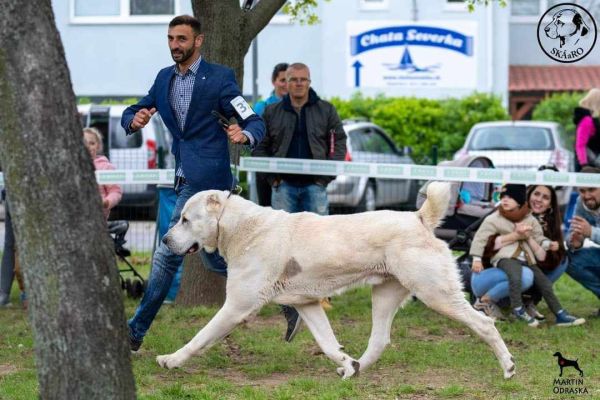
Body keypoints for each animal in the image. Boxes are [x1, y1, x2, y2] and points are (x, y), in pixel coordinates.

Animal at [156, 183, 516, 380]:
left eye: (185, 219)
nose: (164, 239)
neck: (241, 227)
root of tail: (419, 218)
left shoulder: (236, 306)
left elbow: (200, 337)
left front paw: (170, 360)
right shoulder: (307, 305)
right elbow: (328, 343)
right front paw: (346, 363)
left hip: (435, 293)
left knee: (484, 324)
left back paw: (509, 367)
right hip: (385, 295)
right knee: (379, 340)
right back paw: (354, 370)